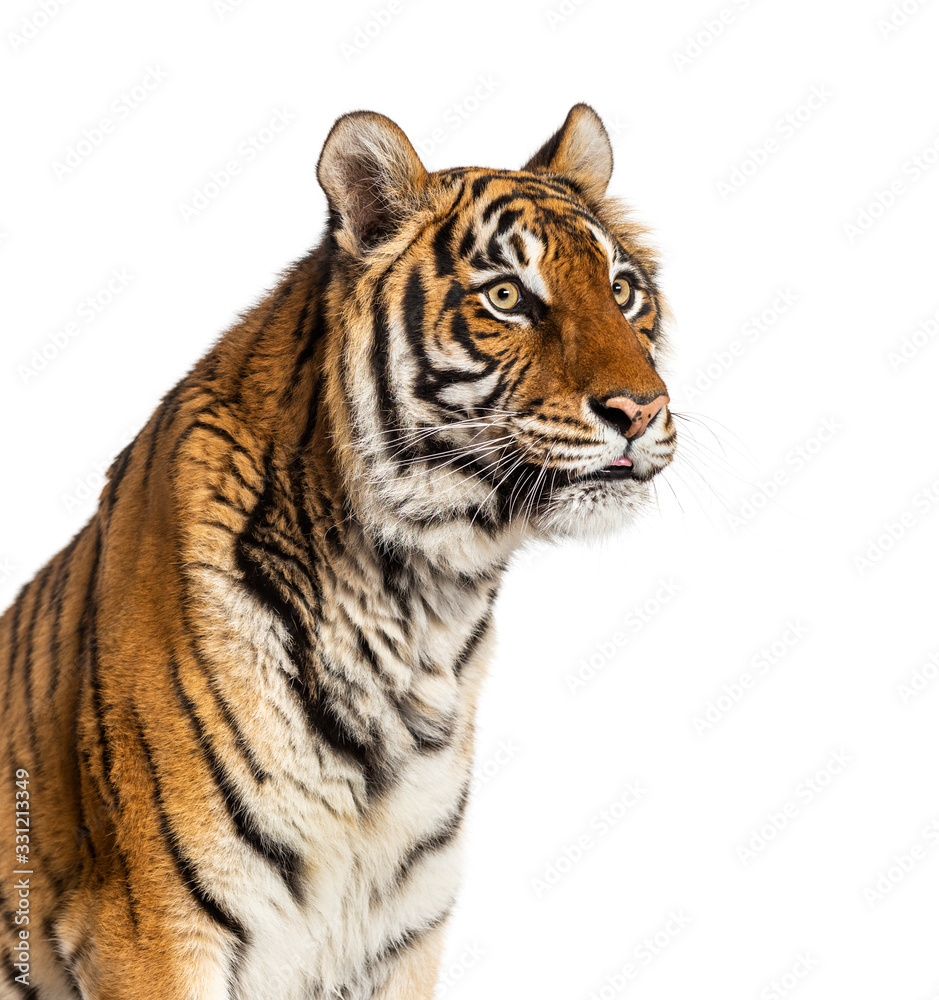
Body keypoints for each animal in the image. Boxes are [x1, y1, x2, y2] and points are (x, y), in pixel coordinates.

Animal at [0, 103, 676, 999]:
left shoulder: (399, 938)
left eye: (621, 290)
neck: (417, 602)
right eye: (505, 296)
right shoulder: (151, 933)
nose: (642, 410)